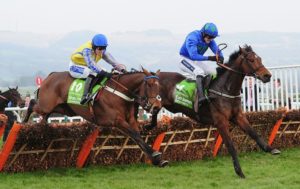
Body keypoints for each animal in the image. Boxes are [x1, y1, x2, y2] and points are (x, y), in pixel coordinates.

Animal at [22, 68, 169, 167]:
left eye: (158, 86)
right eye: (149, 85)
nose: (157, 106)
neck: (120, 93)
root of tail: (51, 75)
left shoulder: (131, 120)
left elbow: (138, 137)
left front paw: (157, 159)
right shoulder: (117, 121)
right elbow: (135, 135)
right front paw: (156, 155)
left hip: (64, 108)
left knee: (44, 114)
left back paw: (42, 126)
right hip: (46, 105)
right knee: (32, 104)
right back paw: (23, 123)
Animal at [142, 45, 280, 178]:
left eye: (260, 59)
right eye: (251, 60)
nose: (267, 76)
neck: (225, 89)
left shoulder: (238, 116)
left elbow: (254, 133)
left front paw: (271, 149)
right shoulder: (220, 121)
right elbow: (230, 145)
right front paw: (239, 171)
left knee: (154, 113)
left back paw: (149, 127)